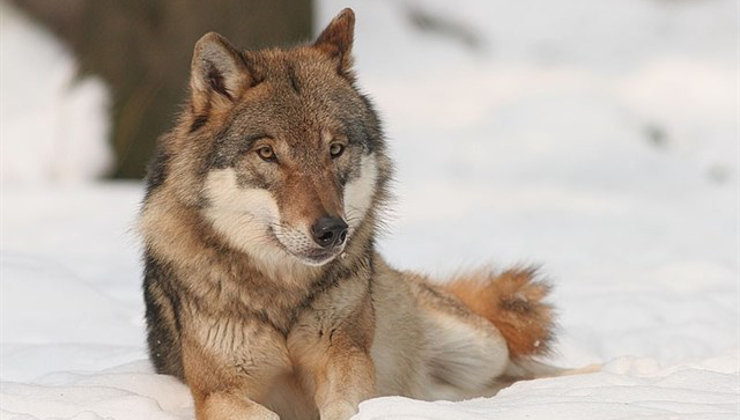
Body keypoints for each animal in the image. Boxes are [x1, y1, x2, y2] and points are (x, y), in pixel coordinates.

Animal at [139, 7, 580, 420]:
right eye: (267, 153)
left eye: (335, 149)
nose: (332, 231)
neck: (283, 296)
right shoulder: (217, 391)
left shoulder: (346, 358)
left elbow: (346, 404)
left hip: (483, 347)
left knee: (529, 371)